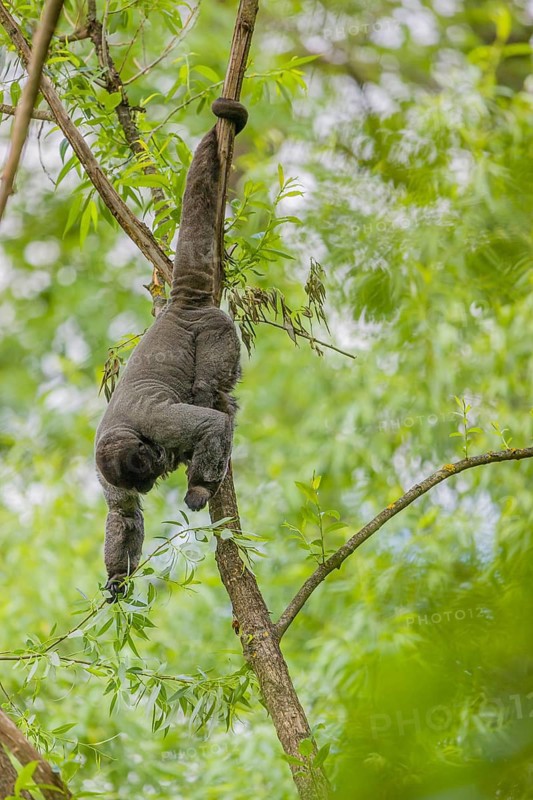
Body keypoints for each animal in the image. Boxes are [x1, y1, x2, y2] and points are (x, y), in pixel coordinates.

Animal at [95, 98, 248, 600]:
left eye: (145, 467)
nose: (150, 481)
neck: (130, 431)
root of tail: (183, 305)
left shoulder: (156, 420)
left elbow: (208, 425)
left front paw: (198, 487)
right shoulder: (106, 473)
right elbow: (122, 514)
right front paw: (117, 579)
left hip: (217, 331)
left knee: (211, 393)